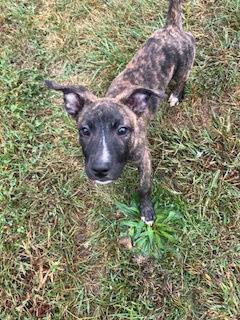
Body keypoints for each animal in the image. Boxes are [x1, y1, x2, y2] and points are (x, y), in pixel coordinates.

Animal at [44, 0, 195, 225]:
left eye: (123, 130)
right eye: (84, 130)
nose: (100, 169)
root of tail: (171, 28)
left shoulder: (144, 158)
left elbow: (144, 187)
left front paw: (146, 210)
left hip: (185, 65)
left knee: (182, 78)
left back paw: (177, 94)